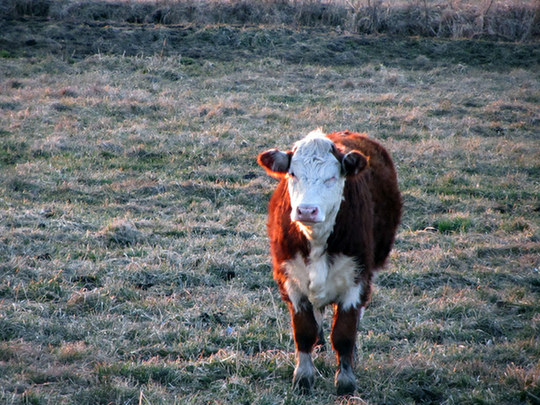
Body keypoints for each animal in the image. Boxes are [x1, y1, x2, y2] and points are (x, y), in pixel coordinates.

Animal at [256, 129, 400, 394]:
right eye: (293, 173)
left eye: (332, 178)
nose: (306, 210)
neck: (317, 240)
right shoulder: (291, 280)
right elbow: (304, 331)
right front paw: (303, 377)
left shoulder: (356, 280)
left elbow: (344, 334)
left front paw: (345, 381)